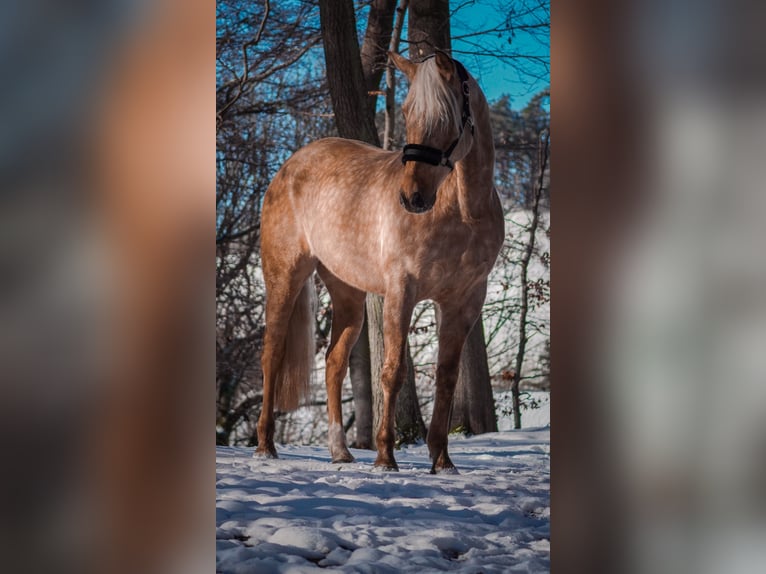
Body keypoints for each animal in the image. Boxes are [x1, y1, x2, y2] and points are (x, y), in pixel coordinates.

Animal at [255, 49, 508, 474]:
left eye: (448, 115)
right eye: (406, 111)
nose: (412, 198)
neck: (462, 211)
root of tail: (289, 167)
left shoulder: (465, 301)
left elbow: (447, 376)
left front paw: (442, 460)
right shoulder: (400, 291)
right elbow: (392, 372)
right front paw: (386, 457)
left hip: (347, 293)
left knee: (334, 362)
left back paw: (340, 452)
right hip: (284, 276)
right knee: (272, 353)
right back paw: (265, 446)